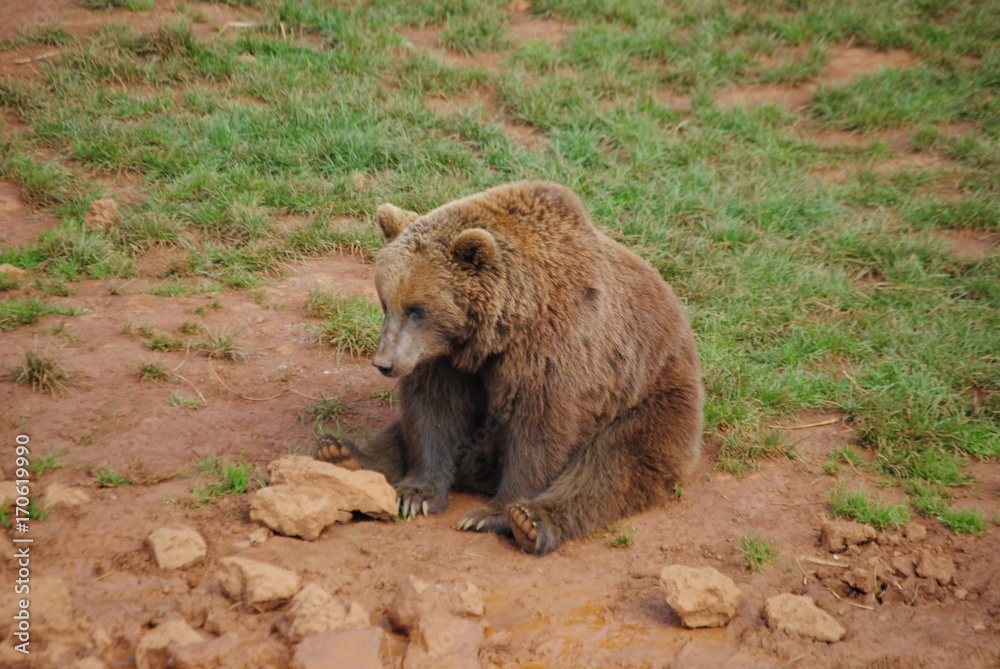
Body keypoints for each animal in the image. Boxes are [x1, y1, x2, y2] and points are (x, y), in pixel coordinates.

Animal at [320, 179, 704, 552]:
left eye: (418, 309)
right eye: (386, 303)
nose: (384, 363)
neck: (500, 331)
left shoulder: (555, 351)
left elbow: (541, 430)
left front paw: (496, 514)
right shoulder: (445, 359)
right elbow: (434, 413)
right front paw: (415, 494)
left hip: (651, 400)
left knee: (610, 467)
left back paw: (533, 522)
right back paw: (343, 453)